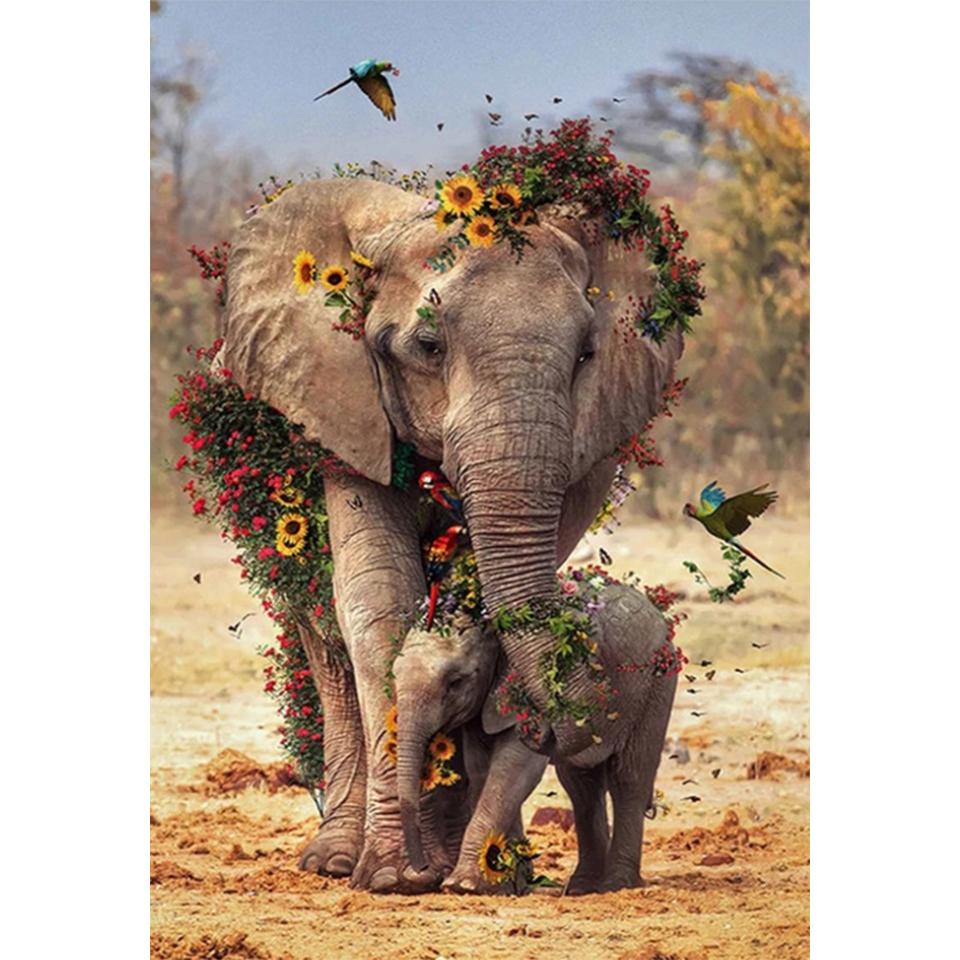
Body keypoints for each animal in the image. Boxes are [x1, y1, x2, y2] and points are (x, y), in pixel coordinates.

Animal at [393, 582, 678, 894]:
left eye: (456, 682)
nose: (420, 872)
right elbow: (482, 771)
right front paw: (501, 885)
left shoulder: (530, 697)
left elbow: (513, 771)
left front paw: (462, 884)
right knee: (582, 786)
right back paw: (582, 887)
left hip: (655, 686)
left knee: (629, 777)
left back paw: (617, 884)